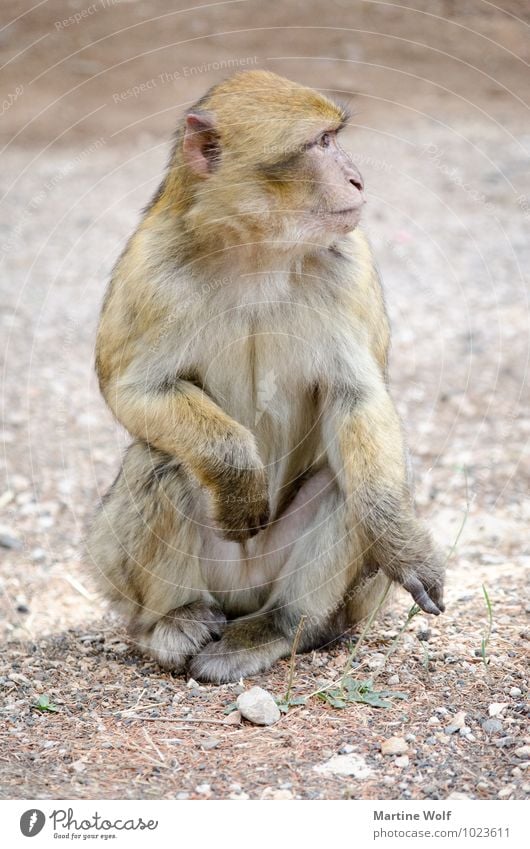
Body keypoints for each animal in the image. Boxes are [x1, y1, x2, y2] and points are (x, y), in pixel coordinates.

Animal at [85, 71, 442, 684]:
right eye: (321, 142)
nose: (357, 177)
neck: (257, 247)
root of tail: (244, 595)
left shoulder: (350, 262)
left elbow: (355, 397)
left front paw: (401, 542)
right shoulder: (150, 268)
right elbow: (133, 389)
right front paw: (235, 471)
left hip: (336, 595)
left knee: (341, 484)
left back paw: (278, 626)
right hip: (126, 570)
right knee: (162, 462)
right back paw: (175, 620)